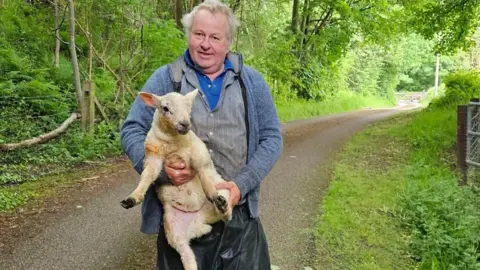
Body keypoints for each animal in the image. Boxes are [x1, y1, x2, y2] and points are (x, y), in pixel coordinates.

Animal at [120, 90, 232, 270]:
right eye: (165, 108)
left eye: (189, 107)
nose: (185, 124)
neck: (172, 142)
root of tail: (199, 220)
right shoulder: (153, 155)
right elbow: (147, 176)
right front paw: (132, 198)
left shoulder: (199, 153)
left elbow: (204, 174)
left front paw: (212, 194)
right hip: (173, 231)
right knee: (187, 255)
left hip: (224, 191)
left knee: (225, 217)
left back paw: (221, 205)